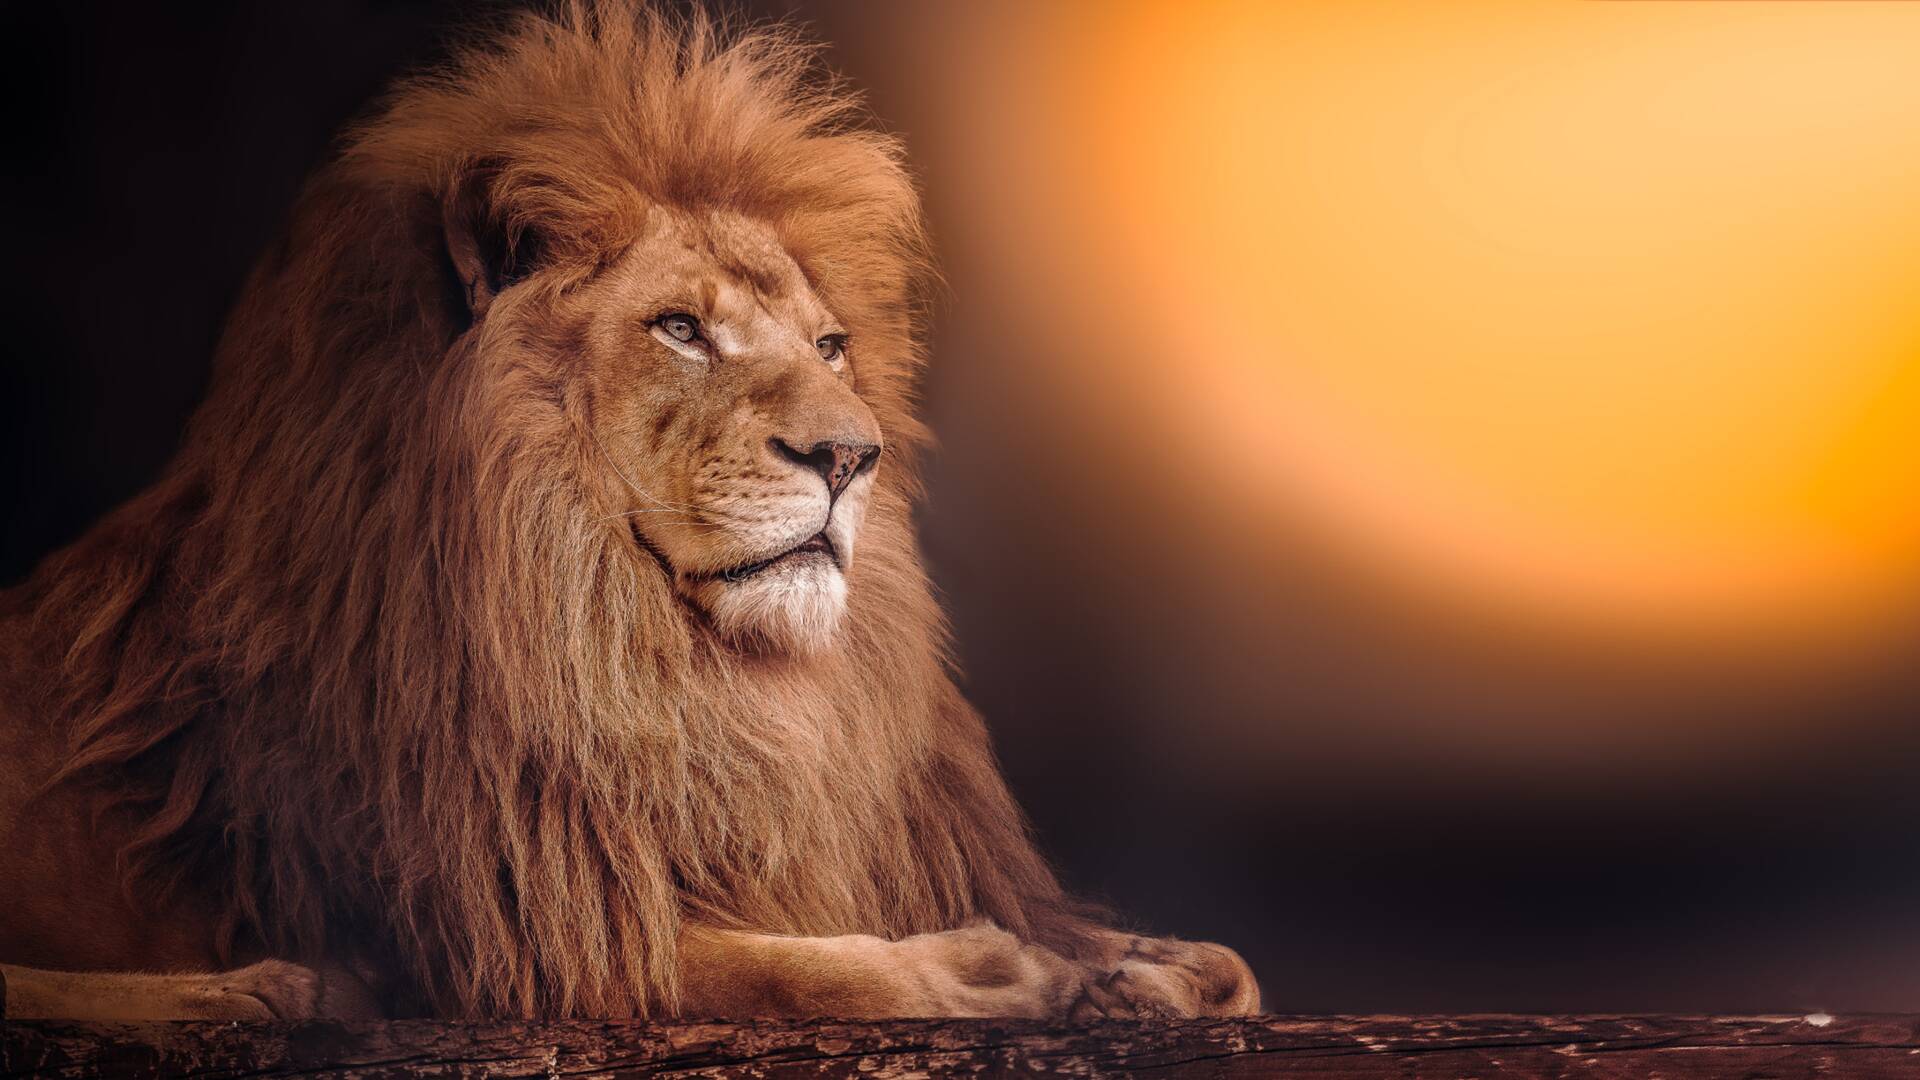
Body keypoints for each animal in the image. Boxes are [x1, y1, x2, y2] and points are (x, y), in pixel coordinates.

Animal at [0, 1, 1260, 1022]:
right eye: (681, 329)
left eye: (830, 346)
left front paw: (1154, 967)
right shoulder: (512, 927)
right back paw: (261, 991)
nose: (850, 454)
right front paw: (991, 970)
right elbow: (789, 966)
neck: (652, 649)